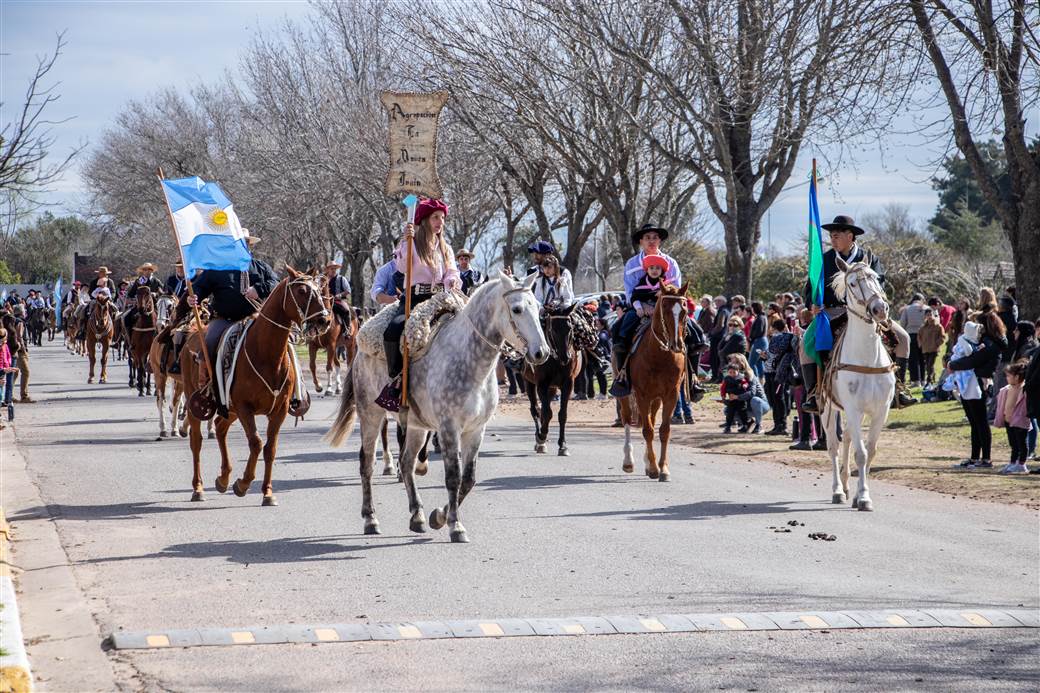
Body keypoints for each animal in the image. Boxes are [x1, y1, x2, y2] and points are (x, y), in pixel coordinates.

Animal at [178, 265, 324, 501]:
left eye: (319, 289)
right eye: (301, 291)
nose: (324, 320)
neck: (265, 354)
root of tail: (190, 337)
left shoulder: (279, 410)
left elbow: (270, 448)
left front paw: (268, 493)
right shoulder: (245, 408)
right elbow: (256, 443)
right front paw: (243, 484)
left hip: (230, 410)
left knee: (220, 428)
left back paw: (223, 479)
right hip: (197, 405)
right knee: (196, 440)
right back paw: (198, 489)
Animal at [328, 272, 549, 541]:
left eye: (537, 307)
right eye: (516, 309)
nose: (541, 353)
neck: (469, 361)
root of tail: (360, 348)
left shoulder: (476, 430)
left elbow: (468, 479)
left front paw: (439, 517)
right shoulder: (448, 428)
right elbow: (453, 477)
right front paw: (455, 525)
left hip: (416, 426)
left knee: (407, 463)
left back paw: (417, 516)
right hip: (370, 414)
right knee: (367, 463)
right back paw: (371, 519)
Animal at [615, 280, 690, 480]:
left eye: (684, 310)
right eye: (664, 308)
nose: (677, 344)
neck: (659, 355)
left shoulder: (671, 395)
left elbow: (663, 430)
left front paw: (662, 468)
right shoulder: (642, 395)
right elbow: (647, 431)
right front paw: (655, 468)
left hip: (656, 398)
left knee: (651, 417)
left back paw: (648, 462)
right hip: (625, 394)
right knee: (627, 418)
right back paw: (628, 461)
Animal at [819, 255, 894, 509]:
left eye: (877, 278)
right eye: (852, 283)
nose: (879, 309)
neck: (868, 358)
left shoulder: (881, 410)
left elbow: (870, 451)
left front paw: (860, 493)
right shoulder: (852, 408)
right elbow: (860, 453)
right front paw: (863, 497)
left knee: (848, 438)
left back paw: (845, 485)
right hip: (828, 409)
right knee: (833, 447)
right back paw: (837, 490)